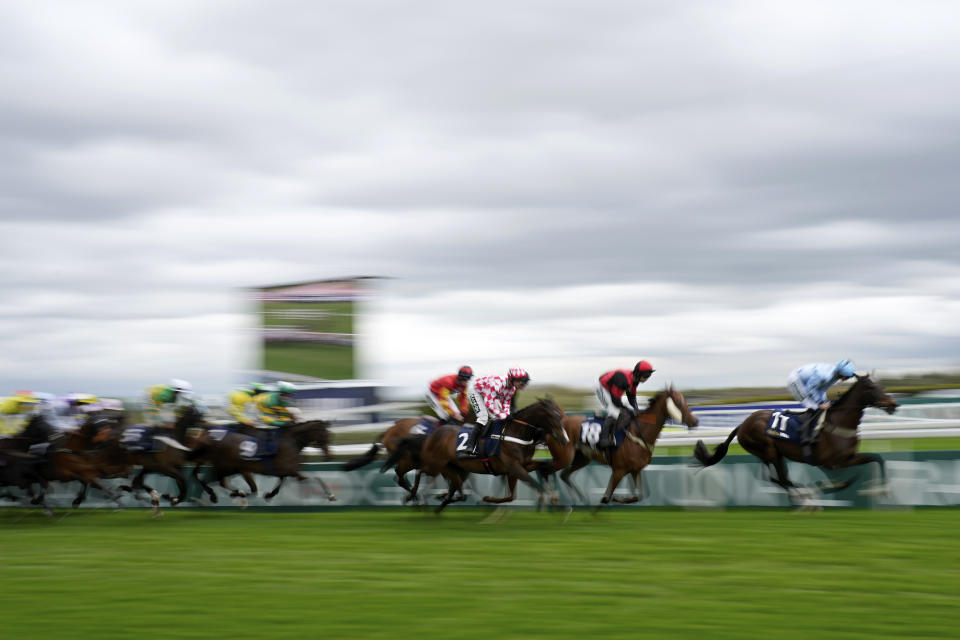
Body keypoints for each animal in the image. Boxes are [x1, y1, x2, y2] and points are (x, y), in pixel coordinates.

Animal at [188, 420, 338, 504]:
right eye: (325, 435)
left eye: (330, 435)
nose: (330, 456)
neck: (291, 441)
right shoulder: (292, 470)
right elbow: (315, 477)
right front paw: (331, 495)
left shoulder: (286, 471)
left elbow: (279, 484)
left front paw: (269, 495)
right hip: (227, 467)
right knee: (214, 480)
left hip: (230, 467)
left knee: (209, 479)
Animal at [556, 384, 696, 504]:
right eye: (679, 402)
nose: (695, 421)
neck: (640, 432)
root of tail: (563, 419)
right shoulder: (619, 470)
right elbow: (607, 497)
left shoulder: (635, 470)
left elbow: (640, 495)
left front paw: (619, 498)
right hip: (566, 456)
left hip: (582, 458)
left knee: (564, 475)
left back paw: (579, 499)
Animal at [692, 376, 896, 504]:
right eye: (872, 388)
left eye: (882, 386)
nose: (893, 404)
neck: (839, 422)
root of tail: (742, 424)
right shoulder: (831, 462)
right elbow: (845, 478)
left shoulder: (846, 458)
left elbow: (877, 458)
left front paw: (880, 490)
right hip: (769, 450)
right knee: (781, 478)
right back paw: (805, 497)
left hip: (771, 454)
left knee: (773, 477)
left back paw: (802, 494)